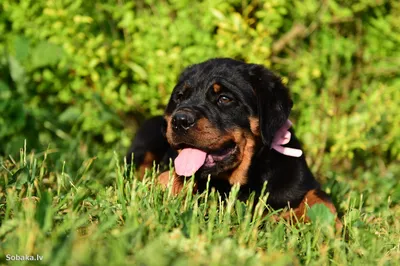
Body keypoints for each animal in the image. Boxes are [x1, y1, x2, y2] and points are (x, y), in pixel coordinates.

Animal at [127, 58, 338, 222]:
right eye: (179, 97)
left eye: (224, 98)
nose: (180, 120)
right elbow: (170, 178)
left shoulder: (300, 182)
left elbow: (322, 200)